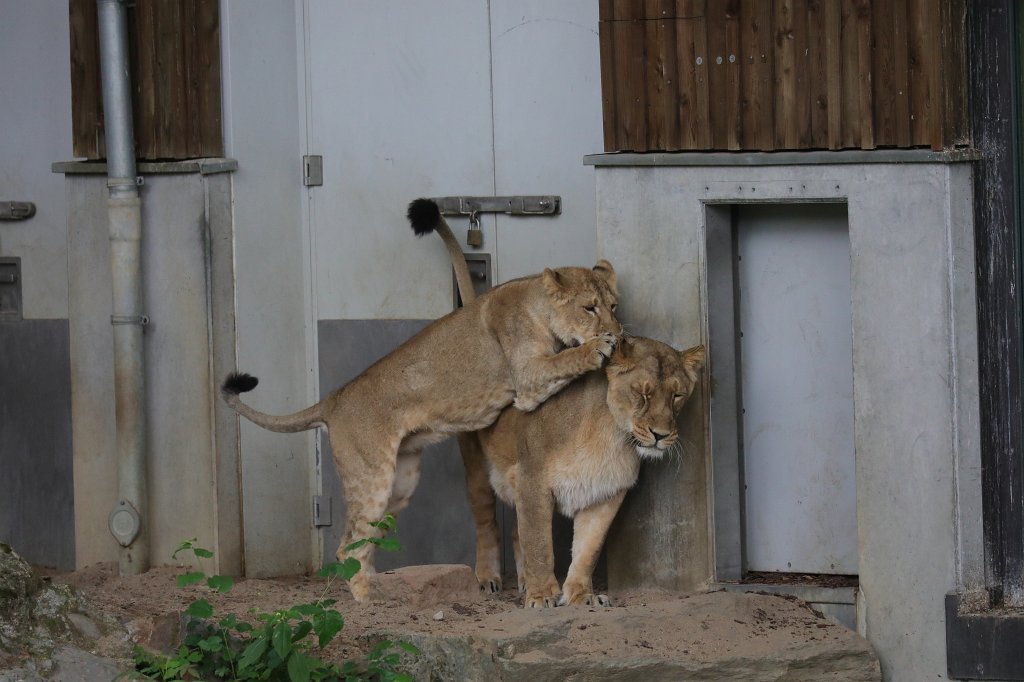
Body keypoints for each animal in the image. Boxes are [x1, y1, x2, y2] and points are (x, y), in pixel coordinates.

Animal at [221, 198, 622, 601]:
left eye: (614, 306)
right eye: (589, 308)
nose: (619, 332)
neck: (536, 304)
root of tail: (333, 398)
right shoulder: (527, 382)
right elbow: (568, 359)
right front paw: (598, 347)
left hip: (400, 485)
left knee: (366, 541)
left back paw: (378, 588)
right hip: (372, 478)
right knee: (347, 544)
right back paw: (367, 599)